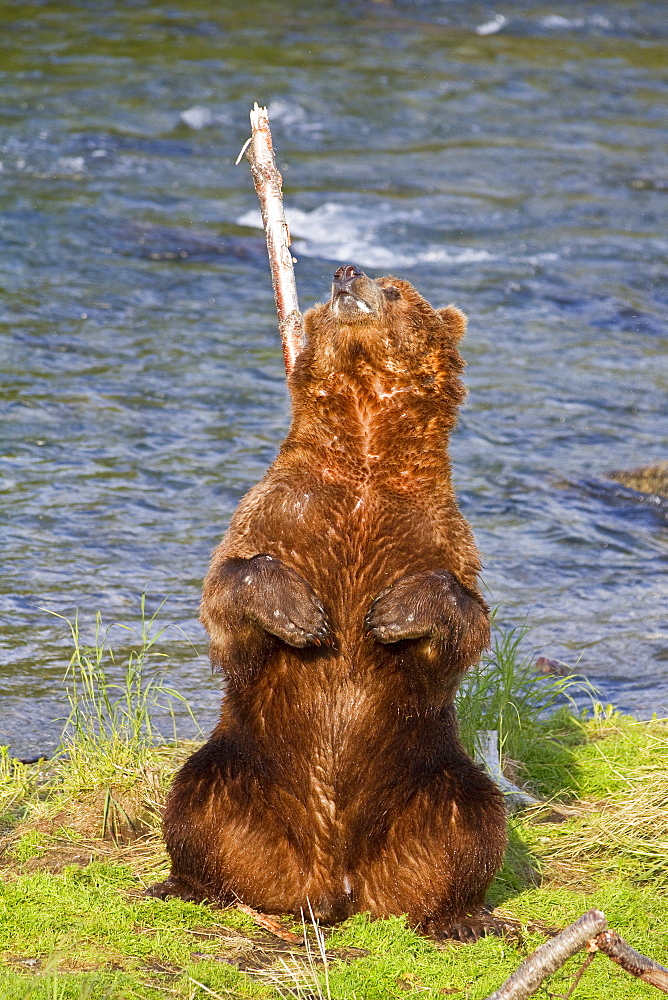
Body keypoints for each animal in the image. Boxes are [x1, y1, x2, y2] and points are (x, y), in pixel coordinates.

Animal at [153, 266, 506, 936]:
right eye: (329, 290)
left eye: (396, 290)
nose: (348, 274)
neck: (365, 454)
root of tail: (333, 879)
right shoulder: (281, 509)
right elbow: (227, 583)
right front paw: (301, 615)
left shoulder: (439, 532)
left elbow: (468, 615)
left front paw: (392, 614)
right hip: (247, 767)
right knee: (197, 799)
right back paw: (187, 884)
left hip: (428, 775)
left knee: (472, 816)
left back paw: (458, 915)